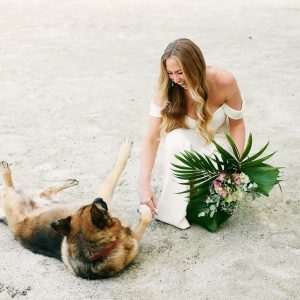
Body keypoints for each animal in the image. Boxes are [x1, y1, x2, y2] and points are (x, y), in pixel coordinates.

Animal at [0, 139, 152, 280]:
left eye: (83, 207)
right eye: (96, 207)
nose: (97, 199)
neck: (93, 251)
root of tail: (8, 223)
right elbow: (115, 174)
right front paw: (125, 150)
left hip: (48, 200)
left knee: (45, 192)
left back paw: (70, 182)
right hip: (14, 201)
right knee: (9, 188)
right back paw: (5, 169)